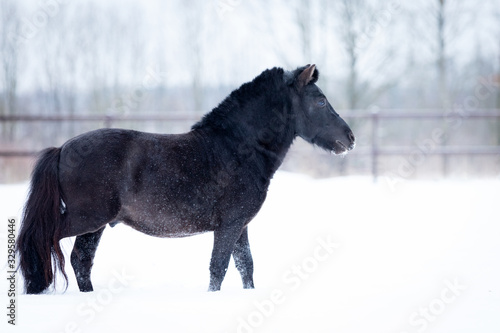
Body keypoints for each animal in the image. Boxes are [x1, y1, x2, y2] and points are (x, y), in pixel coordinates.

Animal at [16, 64, 356, 294]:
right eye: (320, 101)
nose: (350, 139)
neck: (236, 148)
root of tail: (62, 148)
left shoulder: (241, 225)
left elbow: (246, 267)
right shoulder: (228, 225)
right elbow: (218, 268)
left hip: (96, 225)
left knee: (81, 261)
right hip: (86, 218)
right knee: (42, 239)